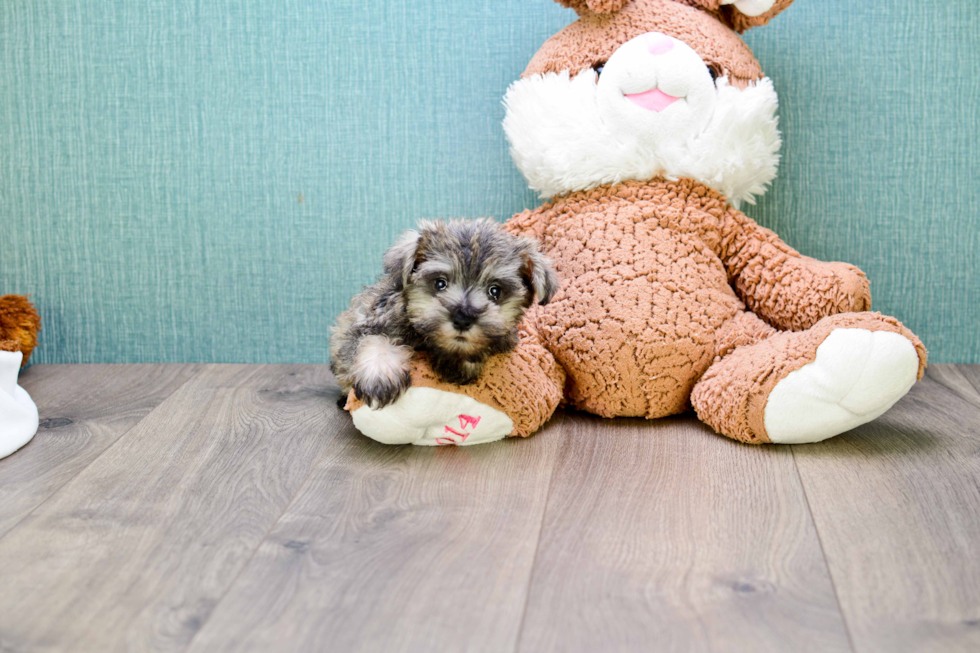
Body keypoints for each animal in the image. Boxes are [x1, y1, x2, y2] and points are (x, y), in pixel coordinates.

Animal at [332, 222, 556, 410]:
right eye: (440, 283)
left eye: (495, 291)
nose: (463, 319)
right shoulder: (364, 324)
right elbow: (372, 340)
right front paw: (380, 376)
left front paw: (459, 363)